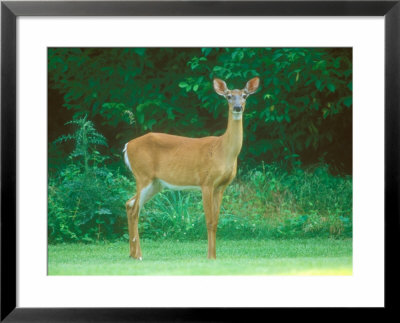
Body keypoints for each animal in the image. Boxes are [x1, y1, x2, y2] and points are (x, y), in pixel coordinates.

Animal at [124, 78, 260, 260]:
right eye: (229, 96)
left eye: (245, 96)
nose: (238, 107)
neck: (222, 150)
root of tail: (127, 146)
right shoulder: (206, 182)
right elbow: (209, 221)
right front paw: (210, 256)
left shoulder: (221, 186)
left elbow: (216, 222)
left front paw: (214, 256)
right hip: (143, 175)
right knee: (135, 210)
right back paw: (138, 255)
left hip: (155, 183)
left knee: (129, 203)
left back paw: (132, 254)